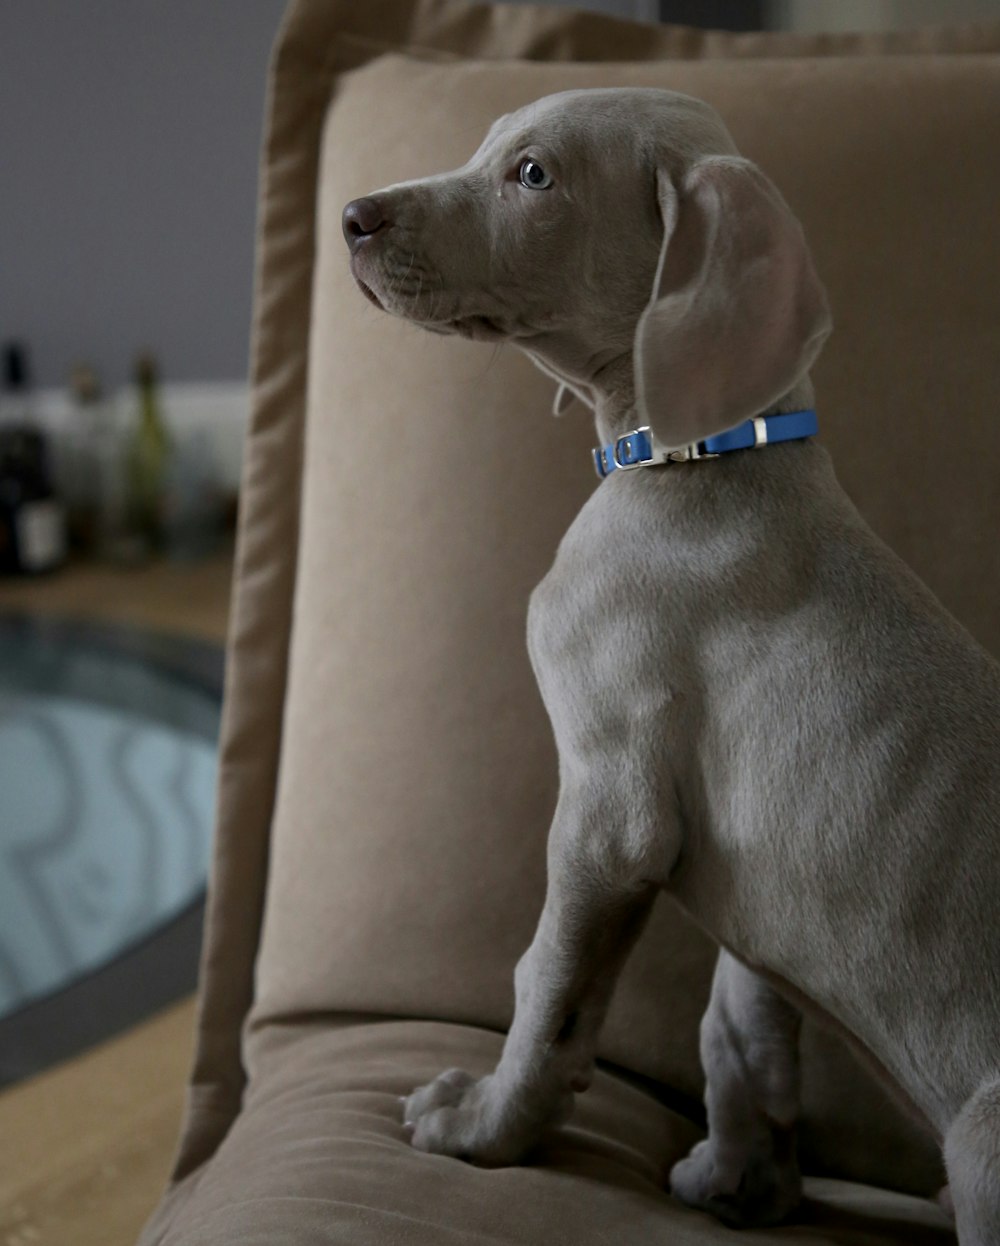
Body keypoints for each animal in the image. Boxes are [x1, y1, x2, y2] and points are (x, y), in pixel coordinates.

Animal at [343, 90, 1000, 1246]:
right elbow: (735, 1025)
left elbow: (550, 987)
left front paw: (486, 1125)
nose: (351, 217)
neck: (706, 457)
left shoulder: (613, 811)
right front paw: (744, 1179)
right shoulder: (756, 885)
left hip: (985, 1136)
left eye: (532, 175)